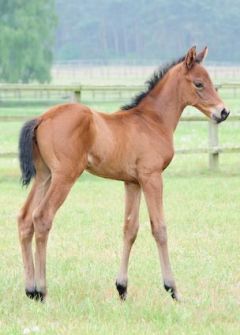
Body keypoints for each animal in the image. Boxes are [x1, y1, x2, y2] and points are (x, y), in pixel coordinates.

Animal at [18, 46, 229, 302]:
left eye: (210, 81)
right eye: (199, 83)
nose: (224, 112)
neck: (152, 121)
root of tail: (41, 118)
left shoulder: (132, 182)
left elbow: (130, 229)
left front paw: (122, 288)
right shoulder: (152, 177)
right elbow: (159, 228)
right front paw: (172, 289)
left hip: (44, 176)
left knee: (25, 219)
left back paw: (30, 290)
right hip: (64, 176)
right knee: (42, 217)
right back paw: (42, 290)